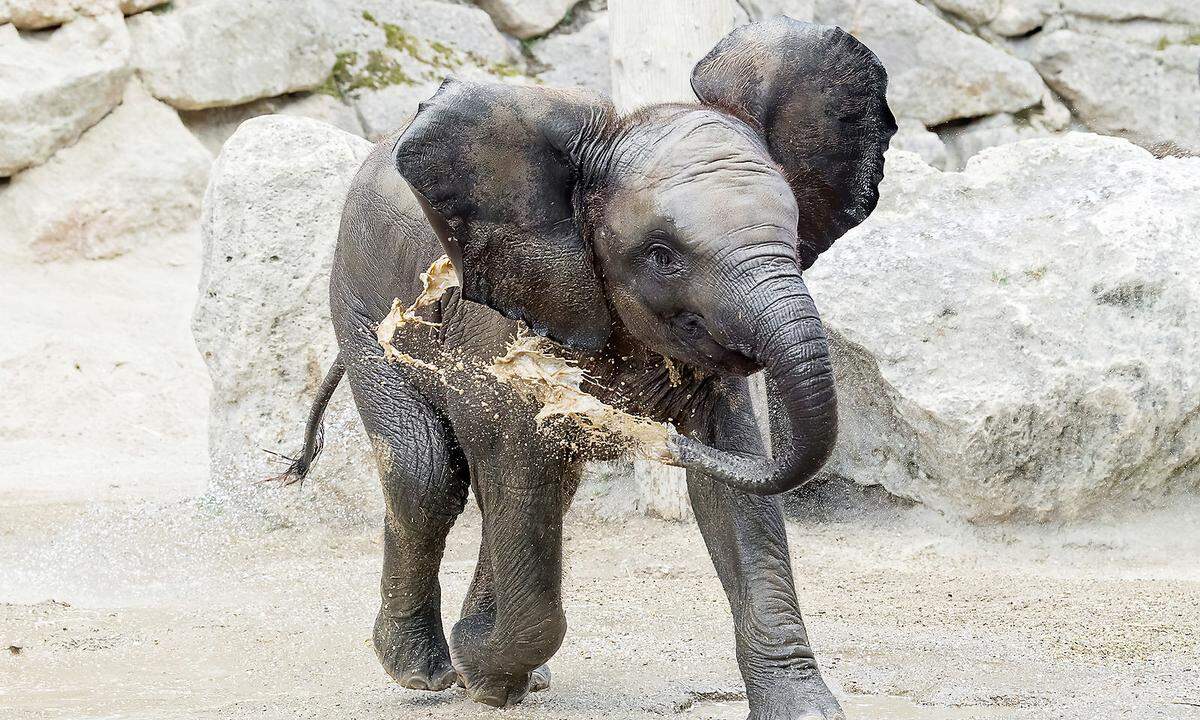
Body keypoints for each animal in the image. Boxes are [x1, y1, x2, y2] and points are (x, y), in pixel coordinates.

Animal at [280, 15, 897, 720]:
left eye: (794, 232)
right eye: (660, 256)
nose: (654, 433)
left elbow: (738, 486)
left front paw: (805, 708)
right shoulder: (504, 322)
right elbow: (515, 462)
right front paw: (481, 669)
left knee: (536, 489)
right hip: (359, 303)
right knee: (427, 473)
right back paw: (429, 672)